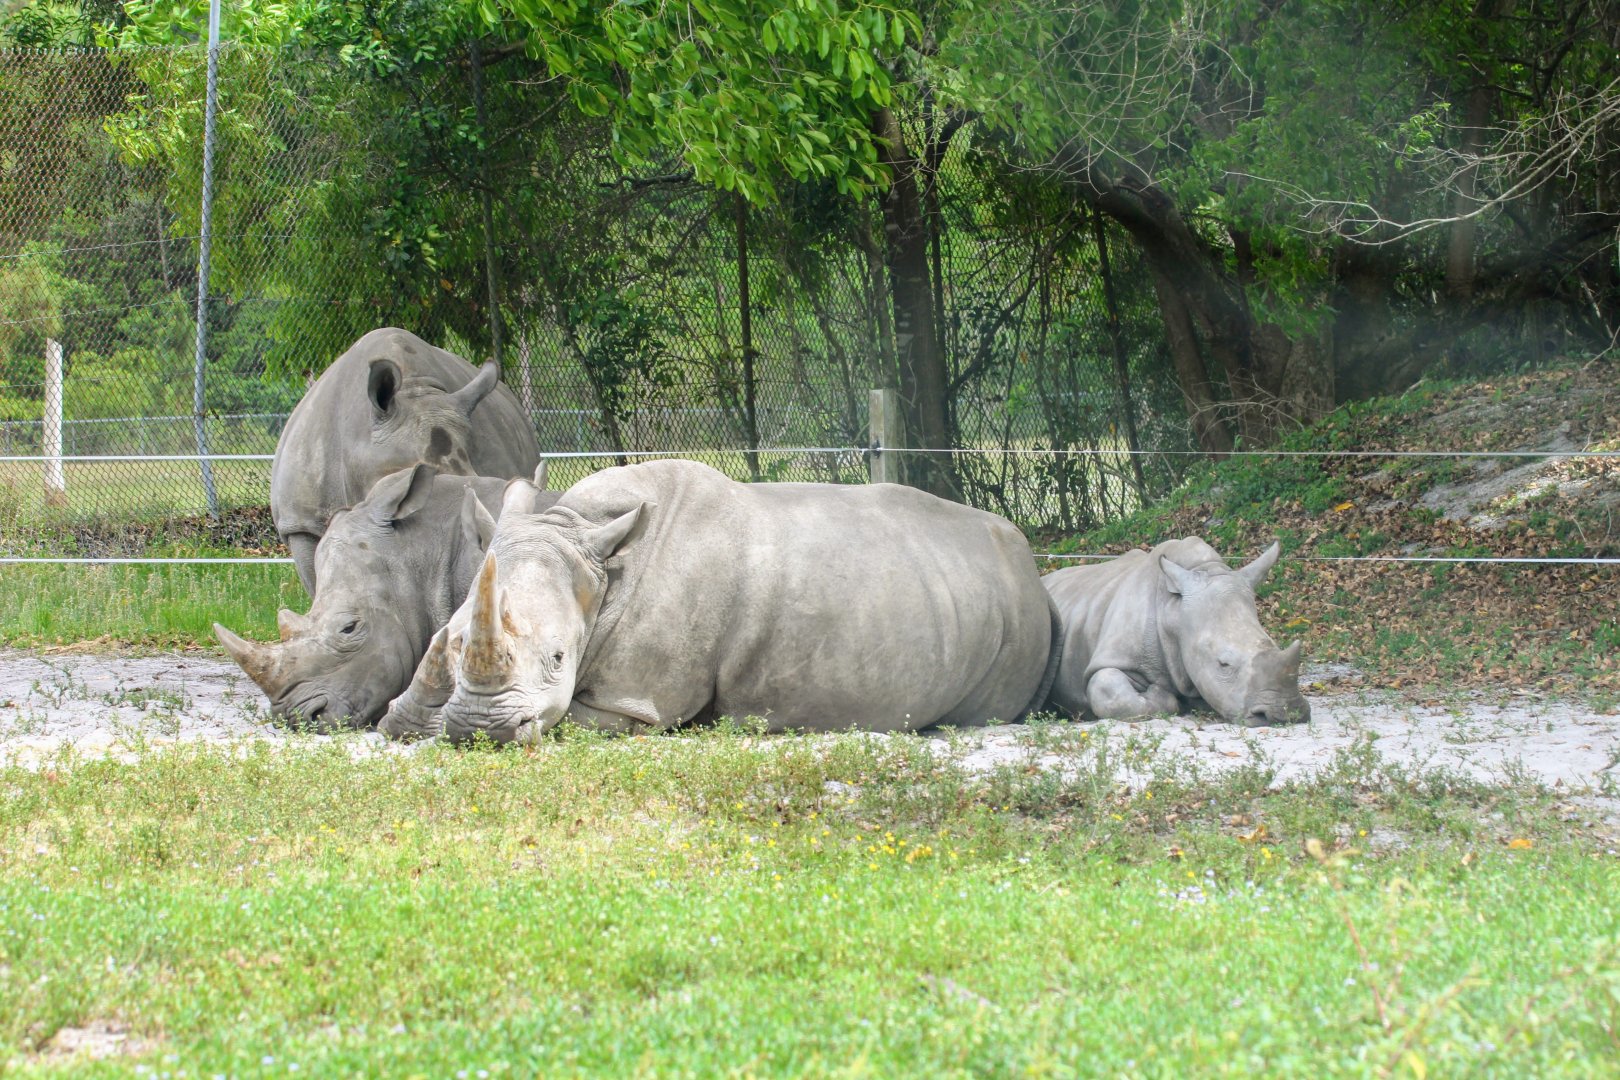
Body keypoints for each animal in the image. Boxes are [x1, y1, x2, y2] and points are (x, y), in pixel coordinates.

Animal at [380, 459, 1060, 744]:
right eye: (453, 640)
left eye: (556, 660)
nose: (479, 730)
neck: (589, 544)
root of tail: (1032, 569)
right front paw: (412, 719)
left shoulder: (638, 702)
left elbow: (573, 716)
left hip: (1018, 626)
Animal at [1041, 537, 1310, 726]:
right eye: (1223, 664)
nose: (1285, 713)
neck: (1173, 614)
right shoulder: (1112, 658)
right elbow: (1109, 691)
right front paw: (1164, 696)